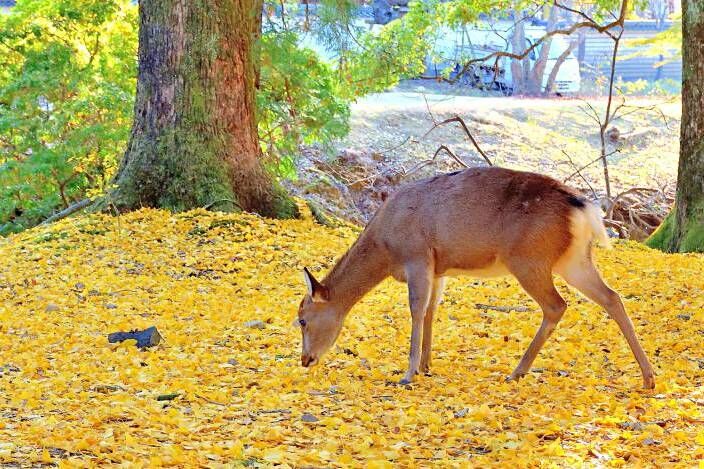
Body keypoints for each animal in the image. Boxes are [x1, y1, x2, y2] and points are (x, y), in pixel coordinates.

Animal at [294, 167, 656, 388]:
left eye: (302, 319)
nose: (305, 359)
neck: (386, 246)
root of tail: (584, 208)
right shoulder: (438, 267)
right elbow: (431, 310)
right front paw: (426, 365)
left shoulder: (417, 255)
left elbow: (416, 309)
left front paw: (408, 373)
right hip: (574, 259)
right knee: (612, 296)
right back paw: (648, 377)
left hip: (529, 259)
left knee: (557, 305)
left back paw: (517, 371)